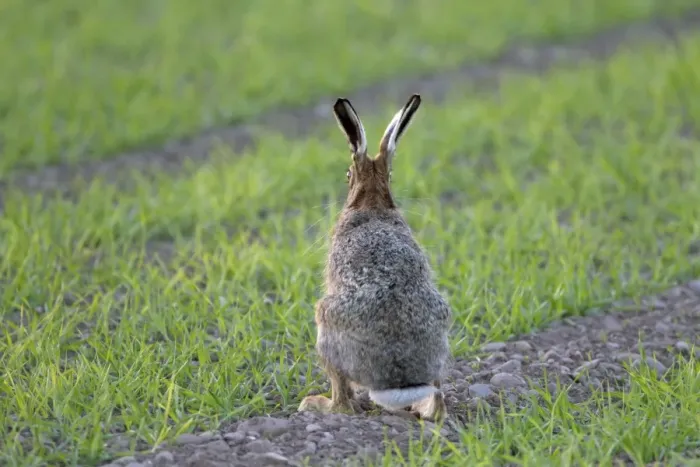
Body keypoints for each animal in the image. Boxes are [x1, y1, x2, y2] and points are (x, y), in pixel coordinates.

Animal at [297, 94, 452, 422]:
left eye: (347, 174)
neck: (372, 201)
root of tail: (397, 381)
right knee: (438, 401)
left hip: (325, 323)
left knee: (342, 401)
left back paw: (316, 404)